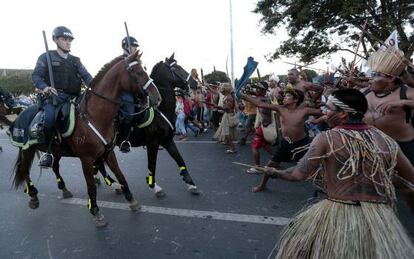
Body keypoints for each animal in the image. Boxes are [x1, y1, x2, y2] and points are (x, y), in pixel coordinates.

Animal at [11, 50, 150, 228]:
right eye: (138, 72)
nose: (156, 97)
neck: (94, 115)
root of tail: (21, 113)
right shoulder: (86, 158)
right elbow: (91, 186)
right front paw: (96, 212)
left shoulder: (108, 152)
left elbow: (120, 175)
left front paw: (131, 200)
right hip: (27, 149)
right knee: (25, 171)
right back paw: (34, 196)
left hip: (56, 151)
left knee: (54, 167)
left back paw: (63, 189)